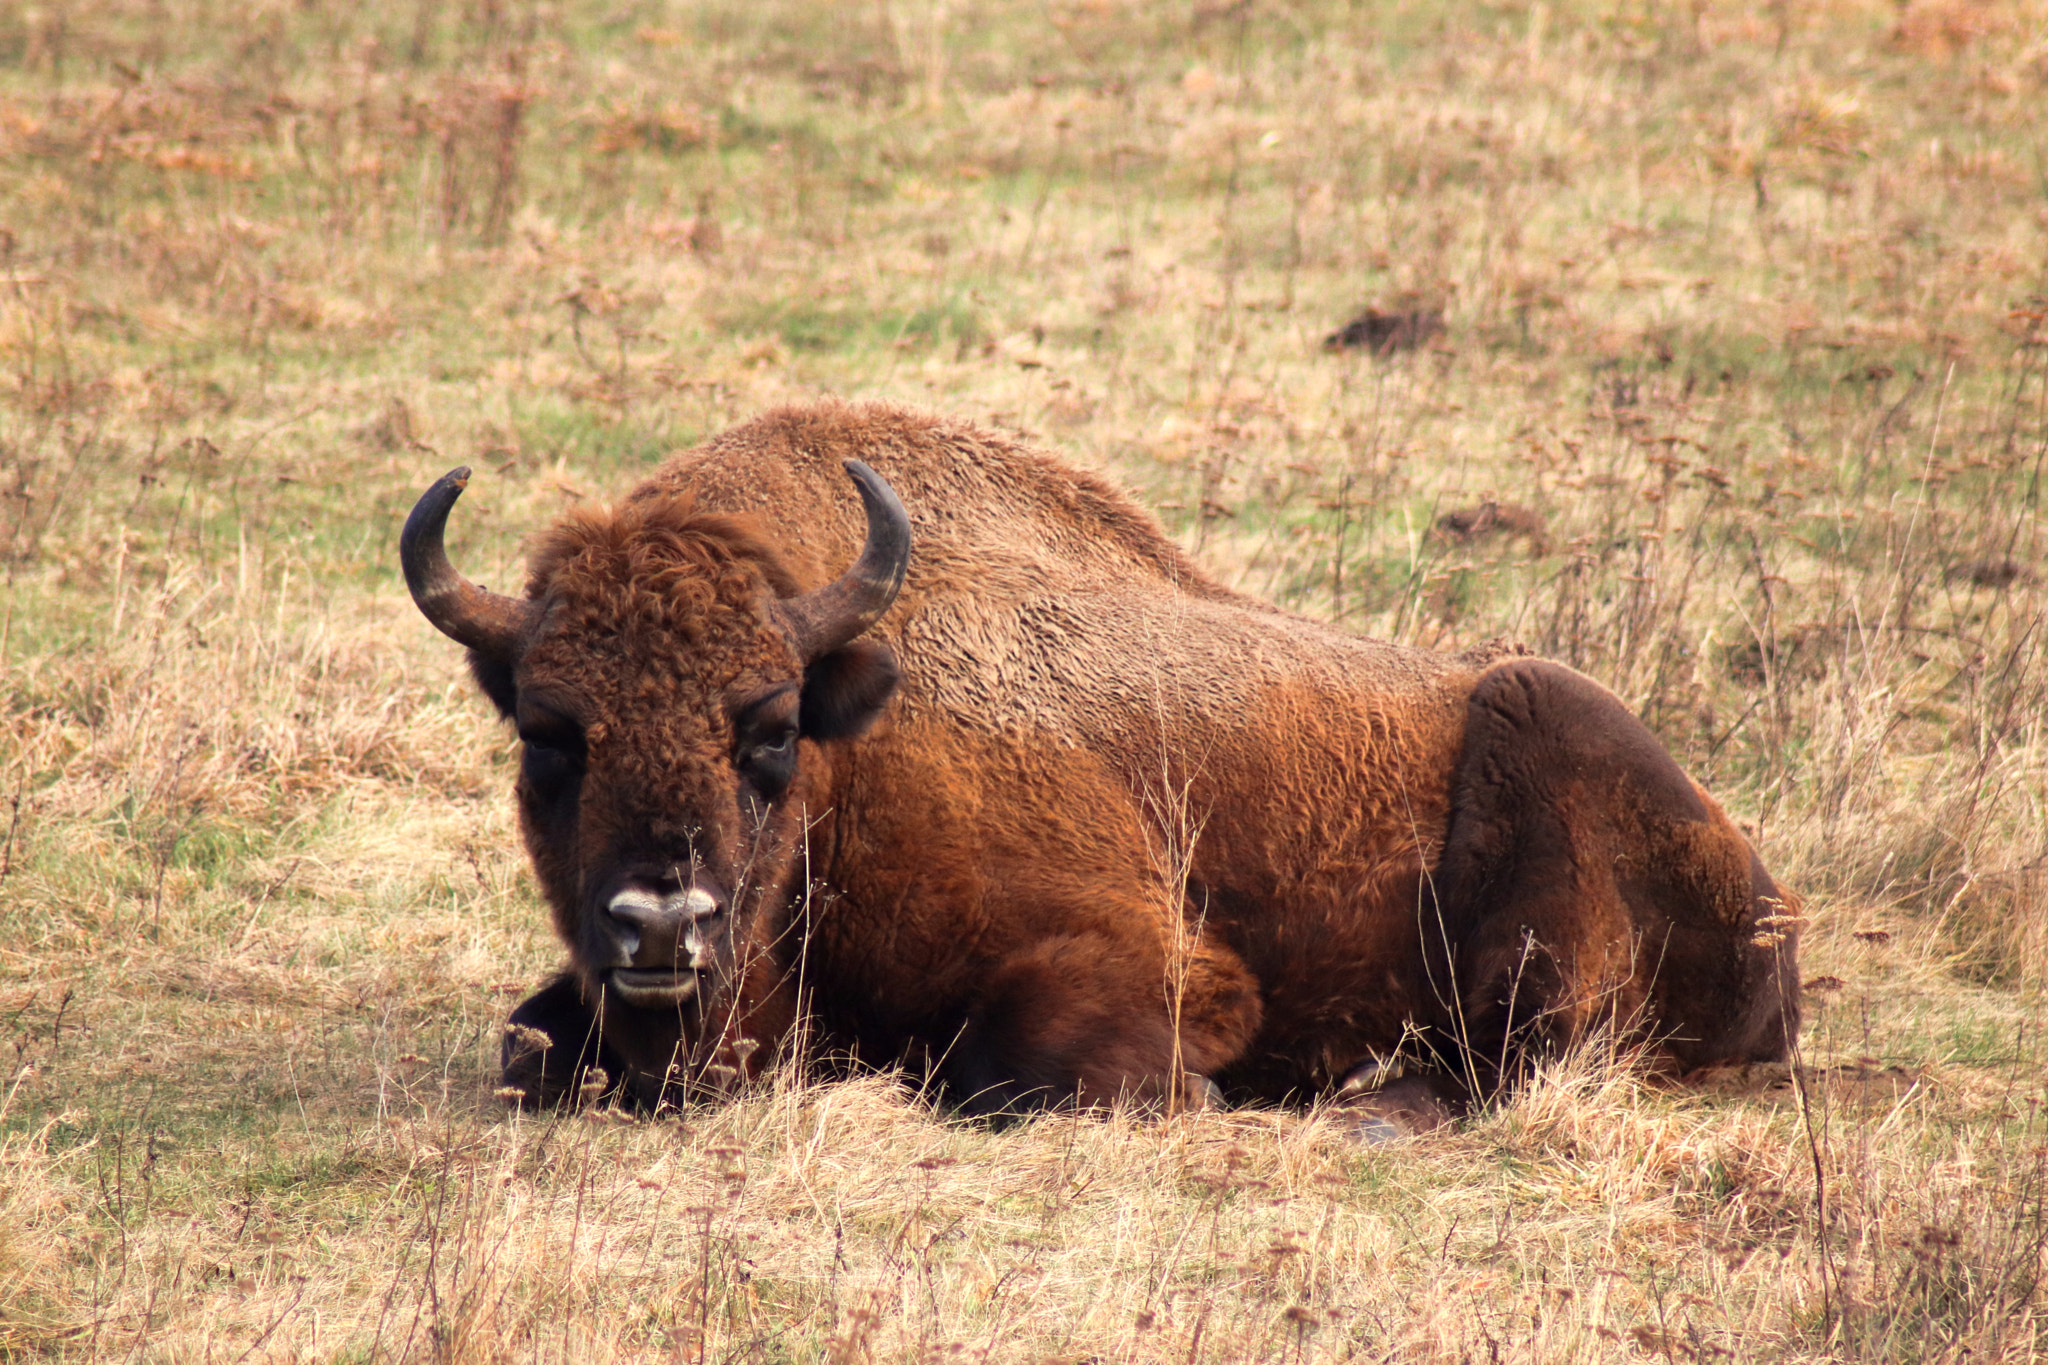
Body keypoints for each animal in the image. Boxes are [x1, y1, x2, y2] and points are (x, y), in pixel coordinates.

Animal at [401, 401, 1799, 1125]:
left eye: (768, 729)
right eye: (548, 734)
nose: (658, 924)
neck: (856, 756)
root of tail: (1771, 907)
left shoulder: (1156, 965)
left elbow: (1004, 1068)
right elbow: (527, 1044)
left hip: (1539, 723)